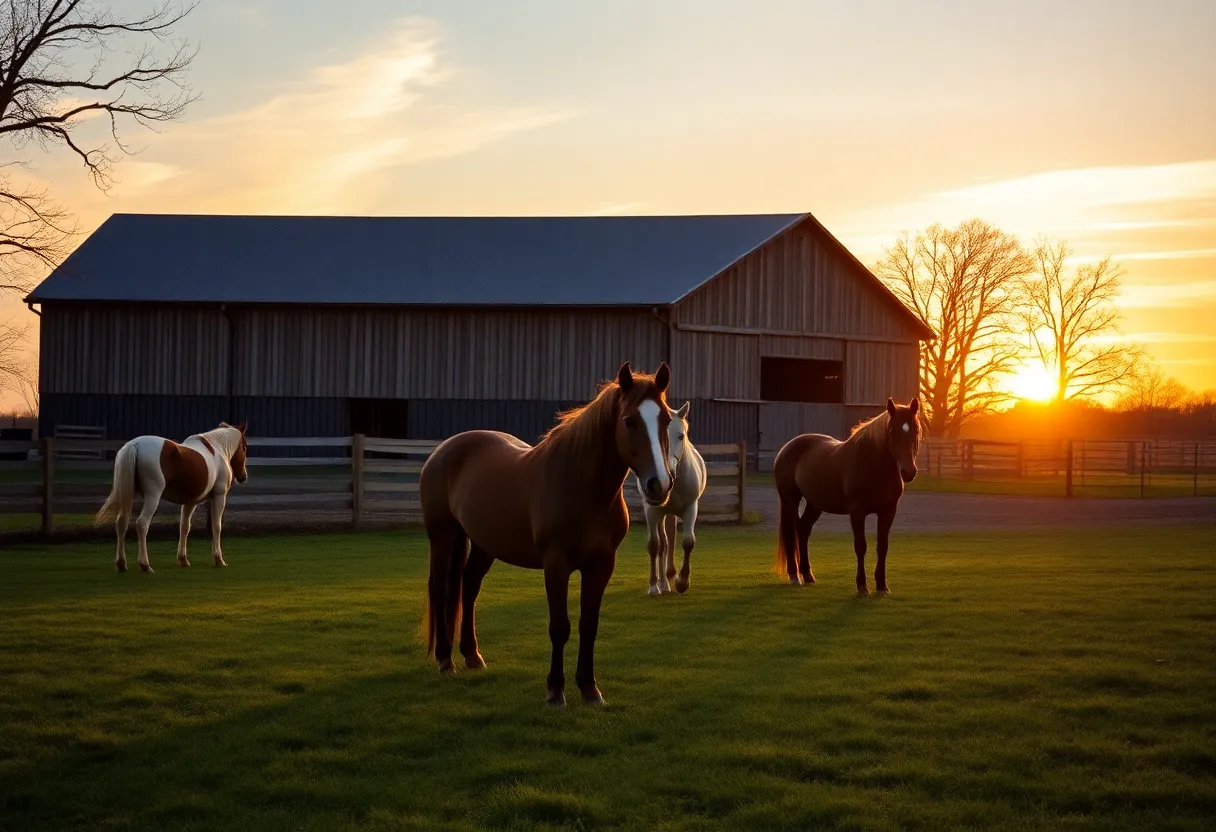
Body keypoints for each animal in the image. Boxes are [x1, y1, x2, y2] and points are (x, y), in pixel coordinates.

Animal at [94, 422, 249, 574]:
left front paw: (183, 559)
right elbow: (216, 526)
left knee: (121, 523)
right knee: (142, 524)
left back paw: (121, 563)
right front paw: (219, 560)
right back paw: (145, 565)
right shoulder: (219, 496)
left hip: (128, 496)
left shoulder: (190, 502)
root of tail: (134, 445)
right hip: (153, 496)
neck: (216, 449)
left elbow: (184, 527)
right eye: (244, 448)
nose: (243, 476)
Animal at [420, 362, 674, 707]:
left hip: (484, 544)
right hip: (443, 536)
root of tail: (443, 450)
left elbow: (589, 625)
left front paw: (590, 689)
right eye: (629, 421)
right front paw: (556, 691)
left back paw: (472, 656)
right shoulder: (556, 565)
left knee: (468, 587)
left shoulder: (601, 566)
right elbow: (560, 627)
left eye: (667, 419)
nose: (658, 485)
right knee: (440, 588)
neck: (582, 487)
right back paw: (446, 660)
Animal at [635, 401, 707, 596]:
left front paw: (682, 582)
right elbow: (654, 545)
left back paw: (667, 582)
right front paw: (653, 586)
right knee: (662, 544)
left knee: (667, 543)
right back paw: (662, 584)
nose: (666, 475)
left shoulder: (691, 507)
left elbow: (688, 541)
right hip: (660, 514)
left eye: (681, 436)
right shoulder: (652, 511)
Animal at [772, 397, 920, 595]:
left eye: (915, 430)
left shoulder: (888, 512)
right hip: (789, 499)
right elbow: (861, 546)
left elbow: (882, 547)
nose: (908, 472)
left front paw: (882, 586)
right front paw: (862, 586)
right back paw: (794, 576)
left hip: (815, 504)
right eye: (891, 430)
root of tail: (786, 447)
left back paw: (808, 576)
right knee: (790, 531)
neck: (873, 465)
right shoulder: (857, 513)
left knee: (802, 530)